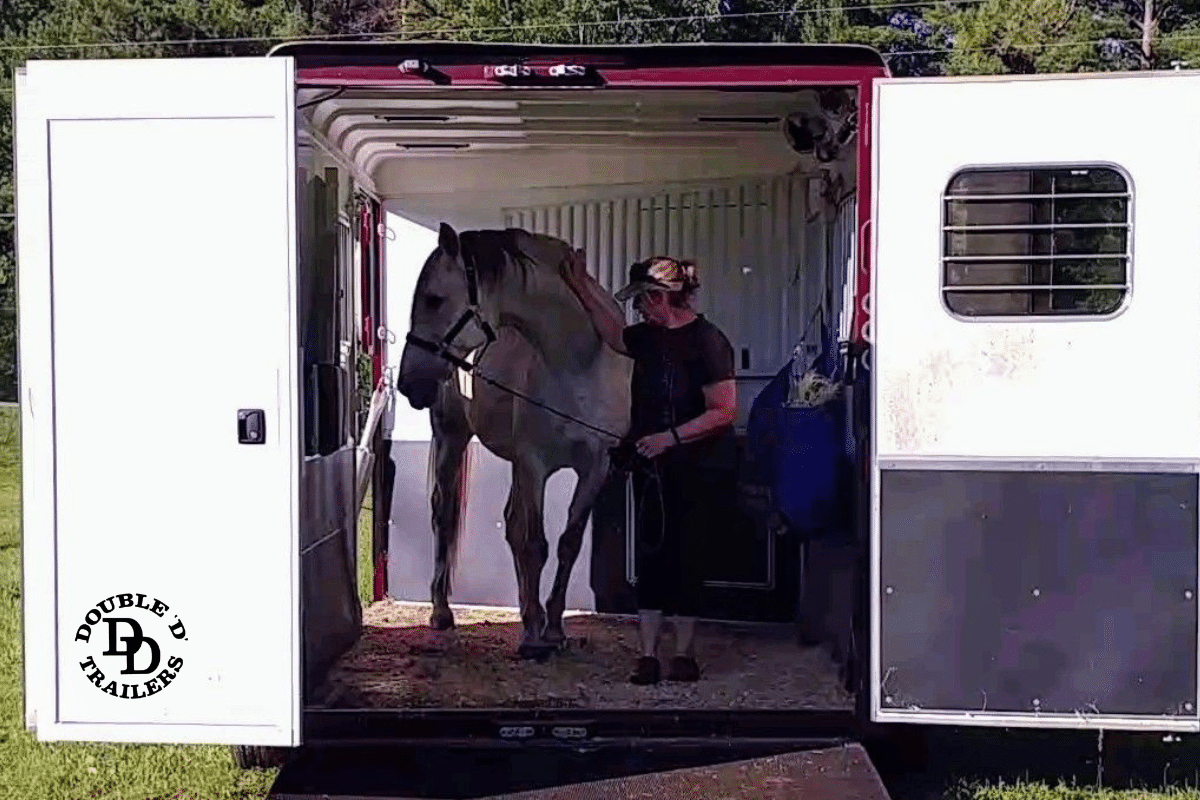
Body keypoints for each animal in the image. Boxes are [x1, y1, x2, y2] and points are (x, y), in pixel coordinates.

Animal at [396, 221, 638, 662]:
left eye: (435, 299)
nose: (408, 383)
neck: (577, 361)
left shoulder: (594, 468)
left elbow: (567, 544)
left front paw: (553, 627)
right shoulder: (533, 464)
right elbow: (534, 544)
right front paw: (532, 634)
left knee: (509, 524)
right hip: (453, 439)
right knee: (444, 515)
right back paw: (442, 611)